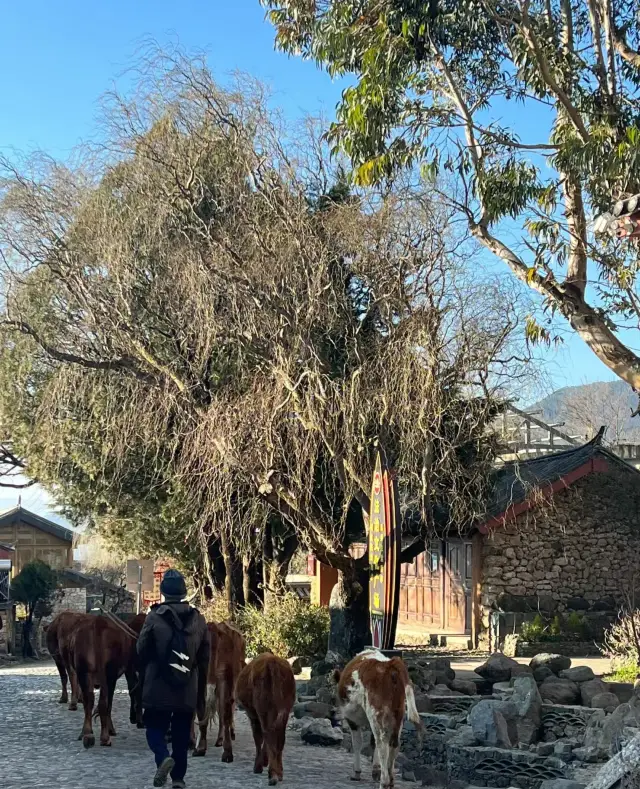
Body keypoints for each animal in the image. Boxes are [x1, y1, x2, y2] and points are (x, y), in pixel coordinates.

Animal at [235, 652, 296, 780]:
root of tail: (272, 663)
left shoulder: (252, 713)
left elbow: (258, 737)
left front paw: (259, 765)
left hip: (262, 709)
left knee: (267, 733)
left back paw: (271, 773)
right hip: (285, 710)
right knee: (279, 736)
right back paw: (279, 773)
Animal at [336, 648, 420, 788]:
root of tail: (390, 664)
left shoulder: (351, 719)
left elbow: (357, 743)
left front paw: (357, 772)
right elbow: (371, 742)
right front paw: (375, 769)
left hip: (376, 713)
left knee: (382, 744)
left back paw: (384, 782)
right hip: (398, 715)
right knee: (393, 744)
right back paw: (390, 780)